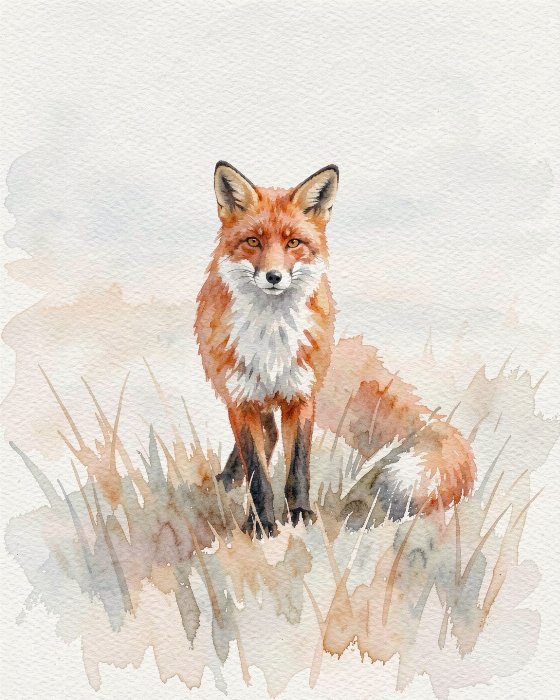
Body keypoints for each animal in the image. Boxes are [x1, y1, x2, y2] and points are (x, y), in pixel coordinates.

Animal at [195, 162, 476, 536]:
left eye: (294, 242)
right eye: (253, 241)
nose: (273, 277)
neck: (272, 335)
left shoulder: (302, 395)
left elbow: (298, 467)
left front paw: (300, 515)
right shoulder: (241, 398)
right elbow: (258, 474)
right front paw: (262, 525)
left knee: (272, 434)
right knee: (264, 437)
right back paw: (228, 481)